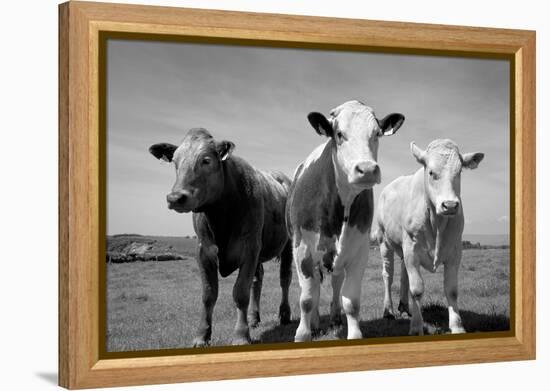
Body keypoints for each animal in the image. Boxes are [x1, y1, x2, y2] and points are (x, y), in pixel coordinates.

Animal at [147, 129, 294, 346]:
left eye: (206, 160)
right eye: (175, 161)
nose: (175, 198)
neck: (220, 216)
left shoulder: (249, 248)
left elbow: (240, 292)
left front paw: (241, 335)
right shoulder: (204, 251)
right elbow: (209, 294)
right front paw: (202, 335)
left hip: (288, 244)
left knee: (285, 278)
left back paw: (284, 314)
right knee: (258, 280)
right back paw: (254, 318)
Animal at [288, 101, 406, 344]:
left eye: (377, 133)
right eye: (339, 134)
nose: (367, 169)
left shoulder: (359, 250)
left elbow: (350, 301)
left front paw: (354, 334)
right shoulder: (301, 249)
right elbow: (307, 299)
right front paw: (303, 334)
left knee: (334, 284)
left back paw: (334, 319)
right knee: (315, 288)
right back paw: (315, 323)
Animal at [374, 139, 486, 336]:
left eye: (459, 172)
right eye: (432, 172)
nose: (450, 205)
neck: (437, 223)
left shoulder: (455, 251)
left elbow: (451, 290)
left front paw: (457, 326)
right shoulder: (412, 249)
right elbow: (417, 289)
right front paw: (416, 327)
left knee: (404, 275)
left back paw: (405, 308)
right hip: (384, 242)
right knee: (388, 275)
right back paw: (389, 311)